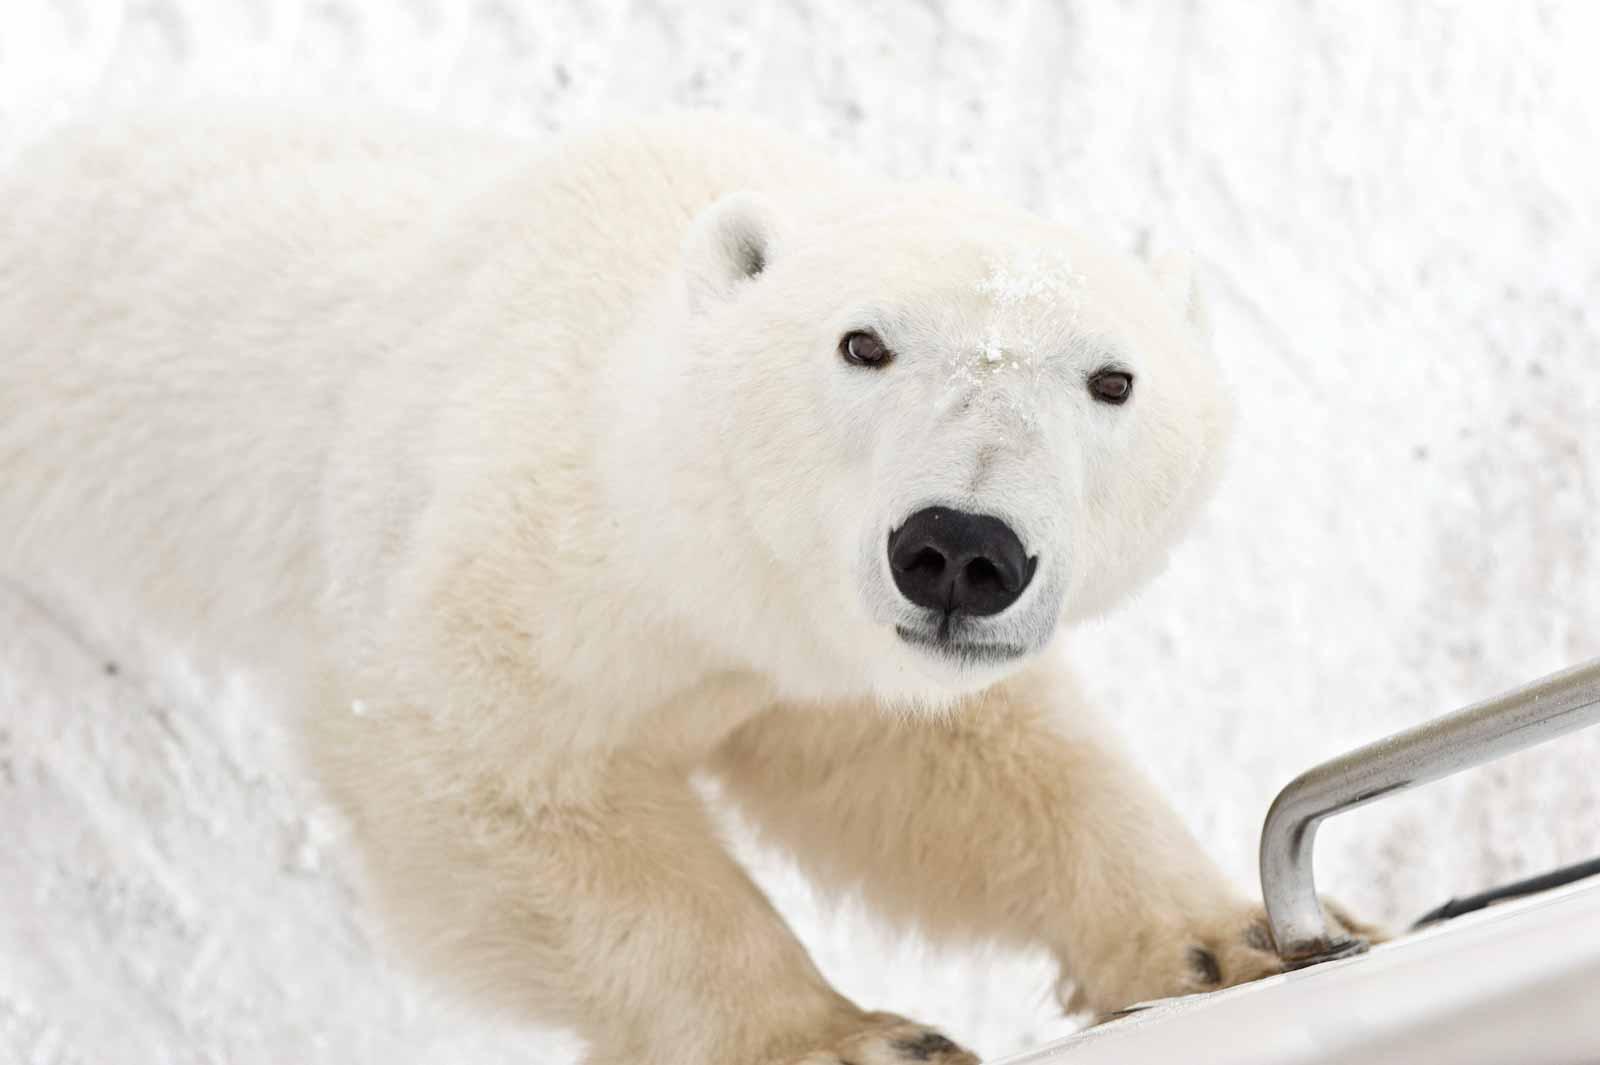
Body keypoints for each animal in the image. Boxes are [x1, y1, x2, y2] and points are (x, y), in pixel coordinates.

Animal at [0, 111, 1376, 1055]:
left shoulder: (825, 654)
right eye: (862, 343)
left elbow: (959, 769)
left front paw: (1234, 938)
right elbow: (491, 773)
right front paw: (848, 1036)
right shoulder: (525, 550)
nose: (959, 549)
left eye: (1112, 379)